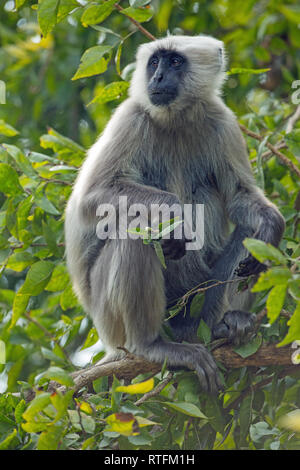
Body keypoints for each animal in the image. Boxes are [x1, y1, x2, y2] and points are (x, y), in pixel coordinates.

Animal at [64, 35, 284, 392]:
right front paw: (175, 215)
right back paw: (151, 345)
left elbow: (241, 197)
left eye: (175, 62)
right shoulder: (131, 117)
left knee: (245, 234)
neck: (176, 120)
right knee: (135, 232)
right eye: (155, 62)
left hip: (199, 304)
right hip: (112, 322)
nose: (156, 78)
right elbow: (92, 197)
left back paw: (228, 324)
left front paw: (272, 226)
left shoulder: (223, 121)